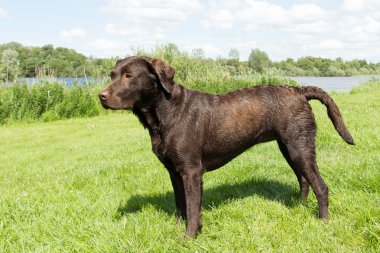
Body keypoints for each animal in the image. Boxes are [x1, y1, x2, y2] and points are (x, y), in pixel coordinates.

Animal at [98, 55, 354, 237]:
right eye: (112, 75)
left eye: (129, 76)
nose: (101, 96)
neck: (166, 112)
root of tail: (299, 90)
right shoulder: (174, 172)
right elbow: (180, 204)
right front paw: (177, 227)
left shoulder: (191, 171)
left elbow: (193, 207)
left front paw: (189, 236)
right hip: (289, 148)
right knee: (303, 180)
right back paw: (298, 207)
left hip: (299, 147)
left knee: (320, 186)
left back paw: (323, 222)